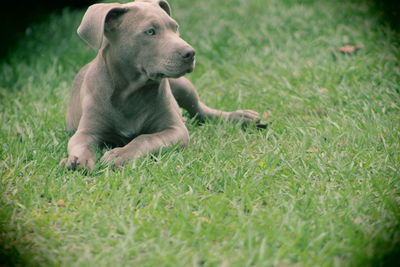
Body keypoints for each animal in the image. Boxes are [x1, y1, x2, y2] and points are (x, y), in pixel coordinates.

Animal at [59, 0, 260, 171]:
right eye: (150, 32)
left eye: (175, 27)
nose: (191, 53)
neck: (131, 92)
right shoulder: (86, 132)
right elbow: (80, 144)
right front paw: (76, 160)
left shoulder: (175, 130)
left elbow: (145, 138)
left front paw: (121, 154)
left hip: (183, 85)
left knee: (201, 111)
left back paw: (241, 117)